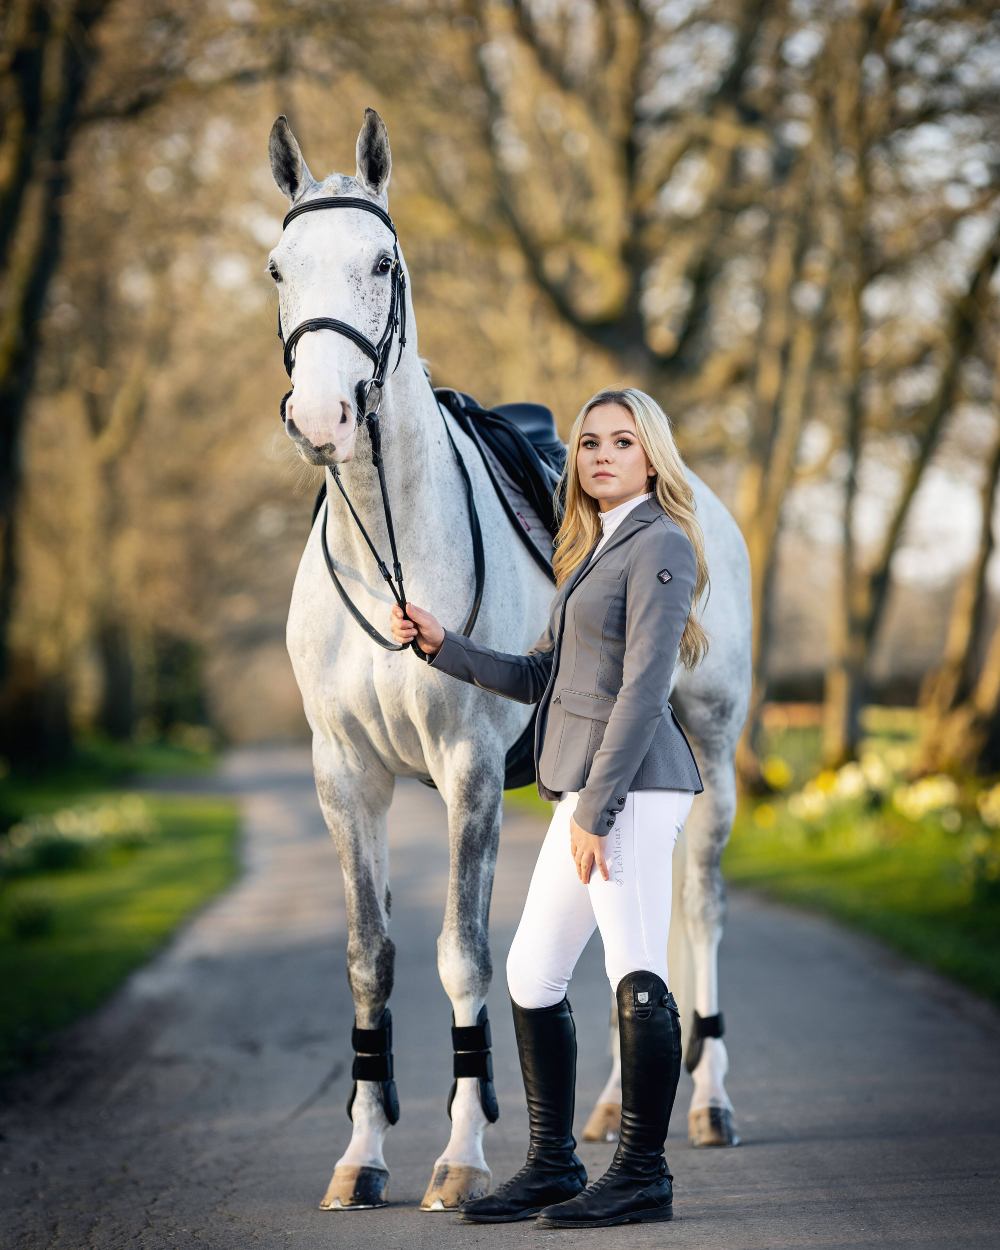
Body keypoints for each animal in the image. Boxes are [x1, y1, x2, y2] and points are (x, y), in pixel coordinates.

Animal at [265, 110, 750, 1210]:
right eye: (277, 267)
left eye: (382, 263)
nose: (321, 417)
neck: (391, 545)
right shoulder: (342, 777)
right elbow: (370, 959)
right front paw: (362, 1154)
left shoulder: (470, 773)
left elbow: (462, 957)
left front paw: (459, 1155)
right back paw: (613, 1108)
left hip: (710, 753)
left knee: (699, 903)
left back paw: (708, 1100)